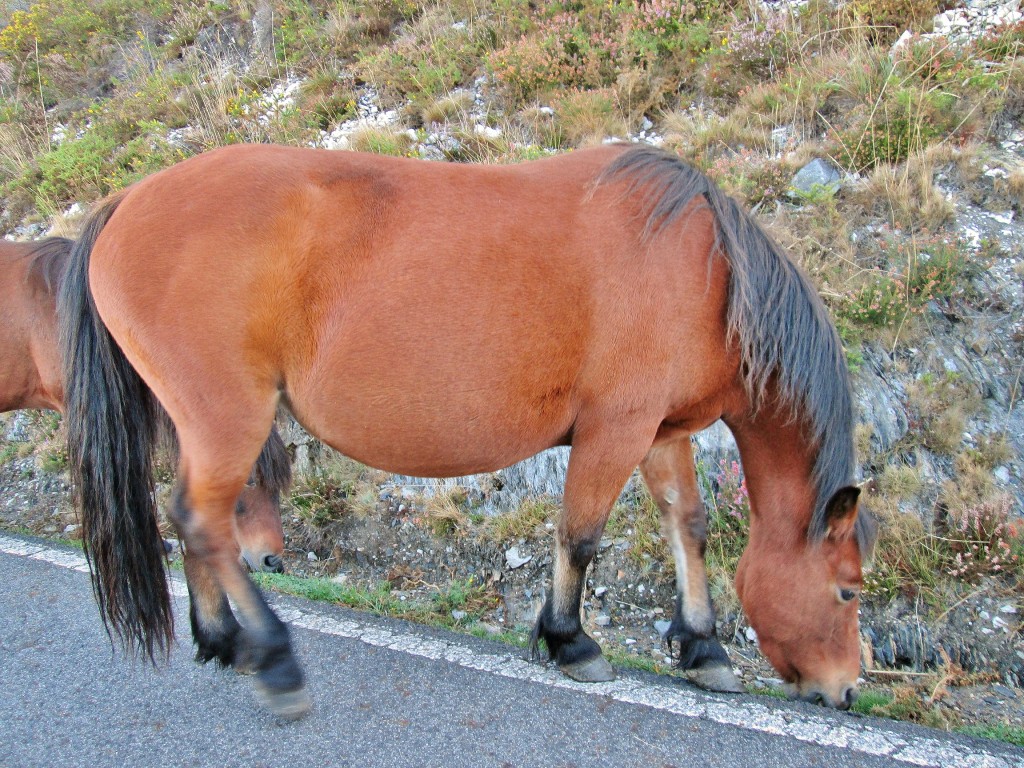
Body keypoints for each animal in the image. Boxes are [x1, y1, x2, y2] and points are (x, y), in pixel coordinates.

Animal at [58, 144, 872, 720]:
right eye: (846, 592)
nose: (846, 691)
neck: (704, 268)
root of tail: (125, 202)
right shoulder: (617, 429)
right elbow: (580, 536)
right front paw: (570, 639)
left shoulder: (662, 432)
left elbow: (689, 526)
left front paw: (703, 647)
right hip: (228, 416)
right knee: (204, 519)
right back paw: (272, 656)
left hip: (200, 423)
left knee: (192, 518)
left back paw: (223, 642)